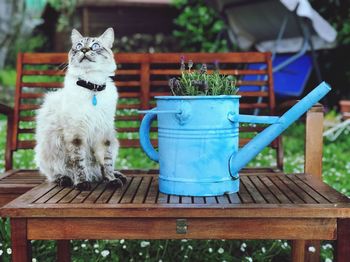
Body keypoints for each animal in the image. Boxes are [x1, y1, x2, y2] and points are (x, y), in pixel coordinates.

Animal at [35, 27, 126, 190]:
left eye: (95, 46)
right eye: (78, 46)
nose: (84, 50)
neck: (93, 87)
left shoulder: (104, 133)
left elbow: (107, 162)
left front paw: (112, 180)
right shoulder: (76, 134)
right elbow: (78, 163)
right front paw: (82, 183)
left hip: (114, 141)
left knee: (100, 170)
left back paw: (116, 176)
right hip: (48, 150)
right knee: (54, 173)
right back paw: (64, 179)